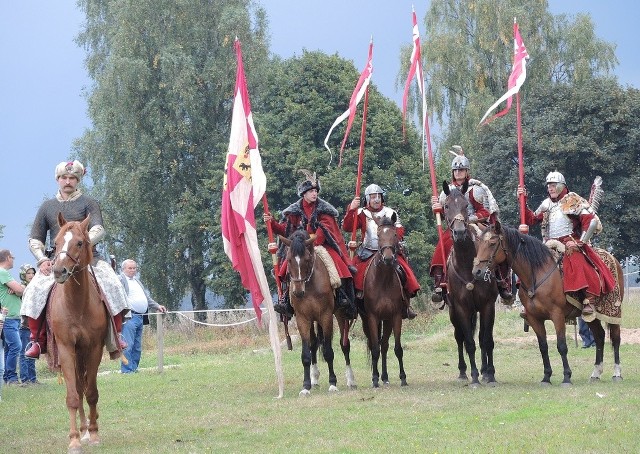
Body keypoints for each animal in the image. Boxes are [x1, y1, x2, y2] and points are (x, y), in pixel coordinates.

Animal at [278, 229, 358, 396]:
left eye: (307, 259)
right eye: (288, 260)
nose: (298, 292)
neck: (310, 285)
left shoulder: (326, 317)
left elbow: (328, 351)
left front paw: (333, 383)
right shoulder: (303, 319)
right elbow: (306, 353)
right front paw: (306, 386)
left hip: (340, 315)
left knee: (345, 345)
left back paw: (351, 380)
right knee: (314, 344)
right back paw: (314, 378)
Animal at [362, 213, 408, 386]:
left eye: (394, 235)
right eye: (379, 235)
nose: (388, 258)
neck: (383, 281)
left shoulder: (395, 316)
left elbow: (397, 348)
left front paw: (403, 378)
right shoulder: (372, 317)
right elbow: (374, 349)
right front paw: (374, 379)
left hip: (387, 320)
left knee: (384, 345)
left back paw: (385, 377)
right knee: (375, 344)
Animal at [442, 181, 502, 386]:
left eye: (465, 205)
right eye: (446, 206)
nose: (459, 232)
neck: (467, 265)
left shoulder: (487, 305)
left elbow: (486, 340)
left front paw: (490, 374)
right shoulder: (461, 308)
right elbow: (468, 342)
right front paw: (474, 376)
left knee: (482, 337)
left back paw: (484, 371)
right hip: (454, 312)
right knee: (459, 337)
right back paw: (463, 372)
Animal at [470, 222, 624, 384]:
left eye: (492, 243)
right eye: (479, 243)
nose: (477, 272)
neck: (536, 275)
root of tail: (612, 258)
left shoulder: (557, 315)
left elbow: (561, 346)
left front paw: (566, 377)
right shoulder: (534, 318)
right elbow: (543, 346)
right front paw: (546, 376)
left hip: (613, 311)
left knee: (616, 338)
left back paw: (617, 373)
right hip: (591, 317)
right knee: (600, 337)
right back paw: (596, 373)